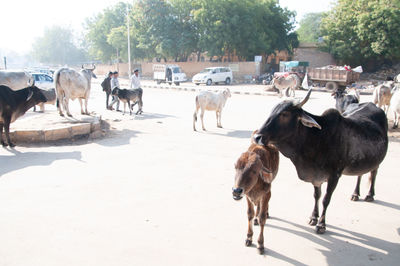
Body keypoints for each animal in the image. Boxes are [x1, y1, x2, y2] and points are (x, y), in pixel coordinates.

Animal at [253, 90, 388, 234]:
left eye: (285, 114)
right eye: (272, 110)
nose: (257, 137)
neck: (318, 138)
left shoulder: (335, 175)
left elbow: (325, 199)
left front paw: (321, 224)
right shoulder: (316, 177)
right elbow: (316, 195)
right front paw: (313, 217)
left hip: (377, 161)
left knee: (373, 173)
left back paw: (369, 195)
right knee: (360, 174)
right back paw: (355, 194)